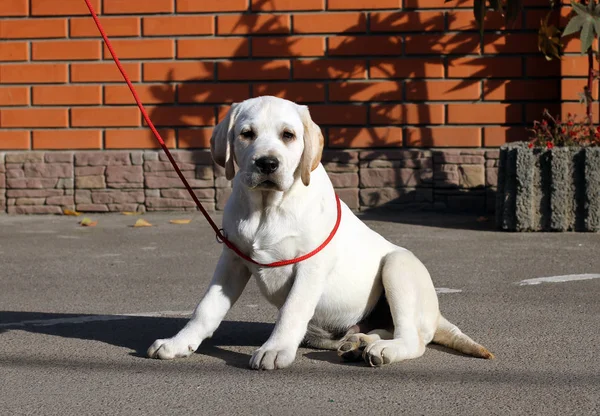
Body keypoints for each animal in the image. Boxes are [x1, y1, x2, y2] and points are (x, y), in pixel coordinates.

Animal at [146, 96, 492, 368]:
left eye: (288, 135)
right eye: (246, 134)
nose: (267, 163)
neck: (267, 209)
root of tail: (435, 315)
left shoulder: (310, 266)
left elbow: (292, 310)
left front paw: (275, 349)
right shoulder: (232, 260)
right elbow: (205, 309)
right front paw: (179, 343)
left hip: (399, 266)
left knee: (413, 339)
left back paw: (382, 349)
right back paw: (358, 343)